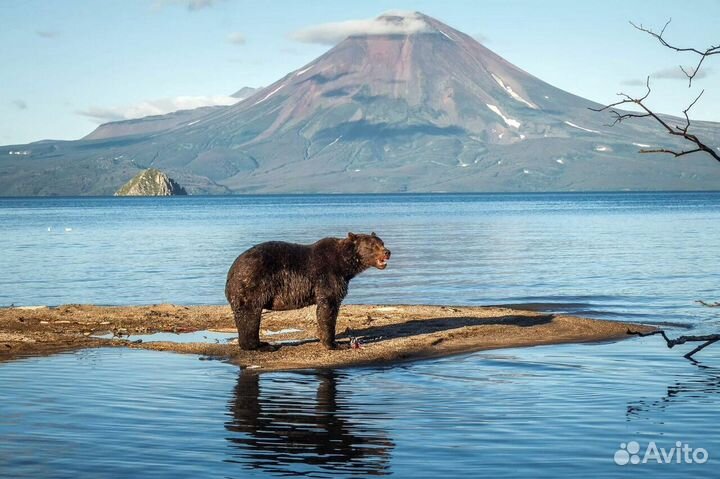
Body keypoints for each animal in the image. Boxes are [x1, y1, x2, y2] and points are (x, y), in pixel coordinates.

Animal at [226, 233, 390, 350]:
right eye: (373, 245)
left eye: (382, 242)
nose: (387, 252)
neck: (345, 265)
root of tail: (231, 272)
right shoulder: (327, 276)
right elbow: (328, 306)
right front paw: (334, 344)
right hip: (253, 284)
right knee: (250, 315)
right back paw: (262, 346)